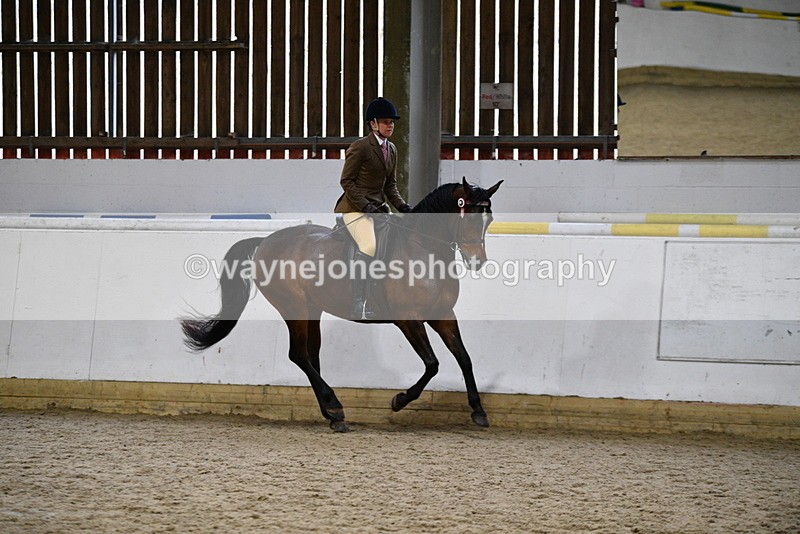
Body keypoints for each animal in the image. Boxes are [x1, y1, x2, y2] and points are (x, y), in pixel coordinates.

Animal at [181, 177, 503, 432]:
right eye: (468, 216)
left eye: (488, 219)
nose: (477, 262)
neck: (424, 250)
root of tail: (266, 241)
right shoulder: (408, 319)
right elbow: (432, 364)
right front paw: (399, 400)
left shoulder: (443, 315)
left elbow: (464, 358)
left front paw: (478, 411)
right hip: (294, 308)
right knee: (299, 355)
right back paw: (334, 407)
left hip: (312, 310)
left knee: (311, 356)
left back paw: (333, 414)